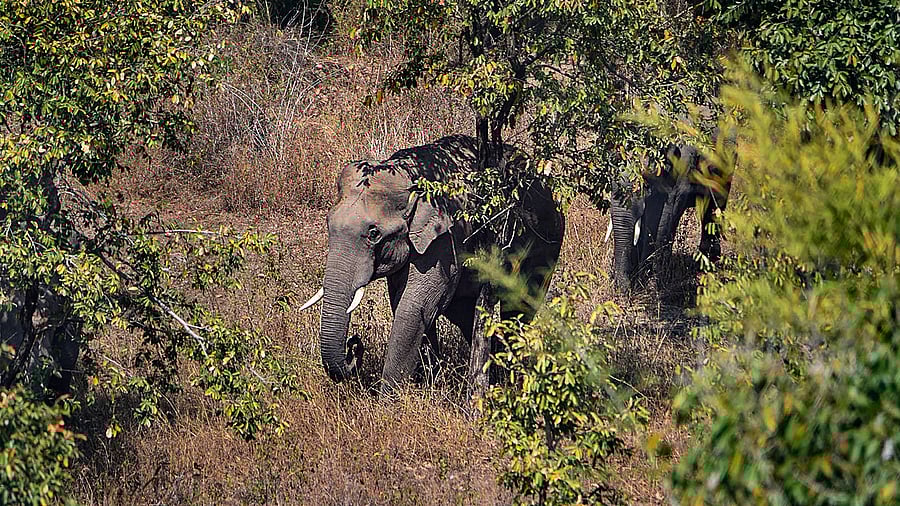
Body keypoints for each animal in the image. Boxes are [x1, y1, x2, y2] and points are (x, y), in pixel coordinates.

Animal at [300, 134, 565, 393]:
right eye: (328, 224)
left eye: (374, 234)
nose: (354, 344)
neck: (408, 175)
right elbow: (408, 303)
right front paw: (426, 382)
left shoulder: (444, 238)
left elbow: (414, 307)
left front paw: (389, 399)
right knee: (466, 313)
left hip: (544, 242)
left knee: (519, 306)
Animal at [609, 140, 732, 291]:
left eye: (645, 185)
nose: (623, 290)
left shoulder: (681, 167)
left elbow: (665, 216)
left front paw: (653, 282)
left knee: (715, 203)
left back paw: (709, 261)